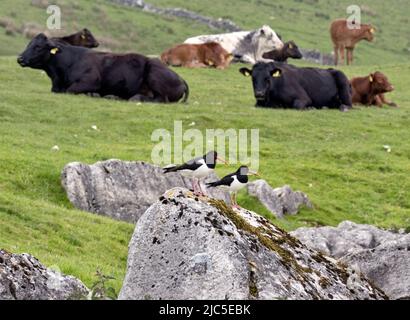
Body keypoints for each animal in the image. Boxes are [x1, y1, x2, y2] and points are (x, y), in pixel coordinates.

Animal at [16, 33, 189, 102]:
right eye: (28, 44)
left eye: (38, 47)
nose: (20, 58)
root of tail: (180, 78)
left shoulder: (91, 80)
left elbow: (70, 90)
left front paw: (91, 94)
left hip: (153, 73)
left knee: (160, 99)